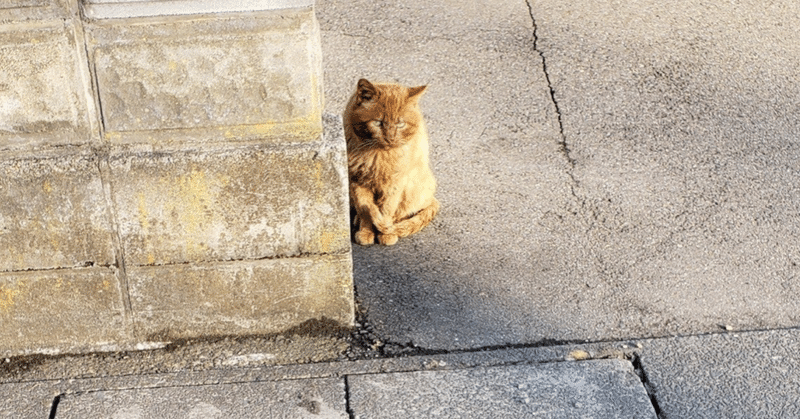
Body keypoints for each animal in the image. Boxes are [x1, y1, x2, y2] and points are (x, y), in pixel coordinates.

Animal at [342, 79, 438, 246]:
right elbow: (365, 209)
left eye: (400, 124)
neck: (377, 156)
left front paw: (385, 233)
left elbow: (387, 209)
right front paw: (366, 232)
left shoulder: (395, 184)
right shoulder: (356, 182)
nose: (390, 138)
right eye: (378, 123)